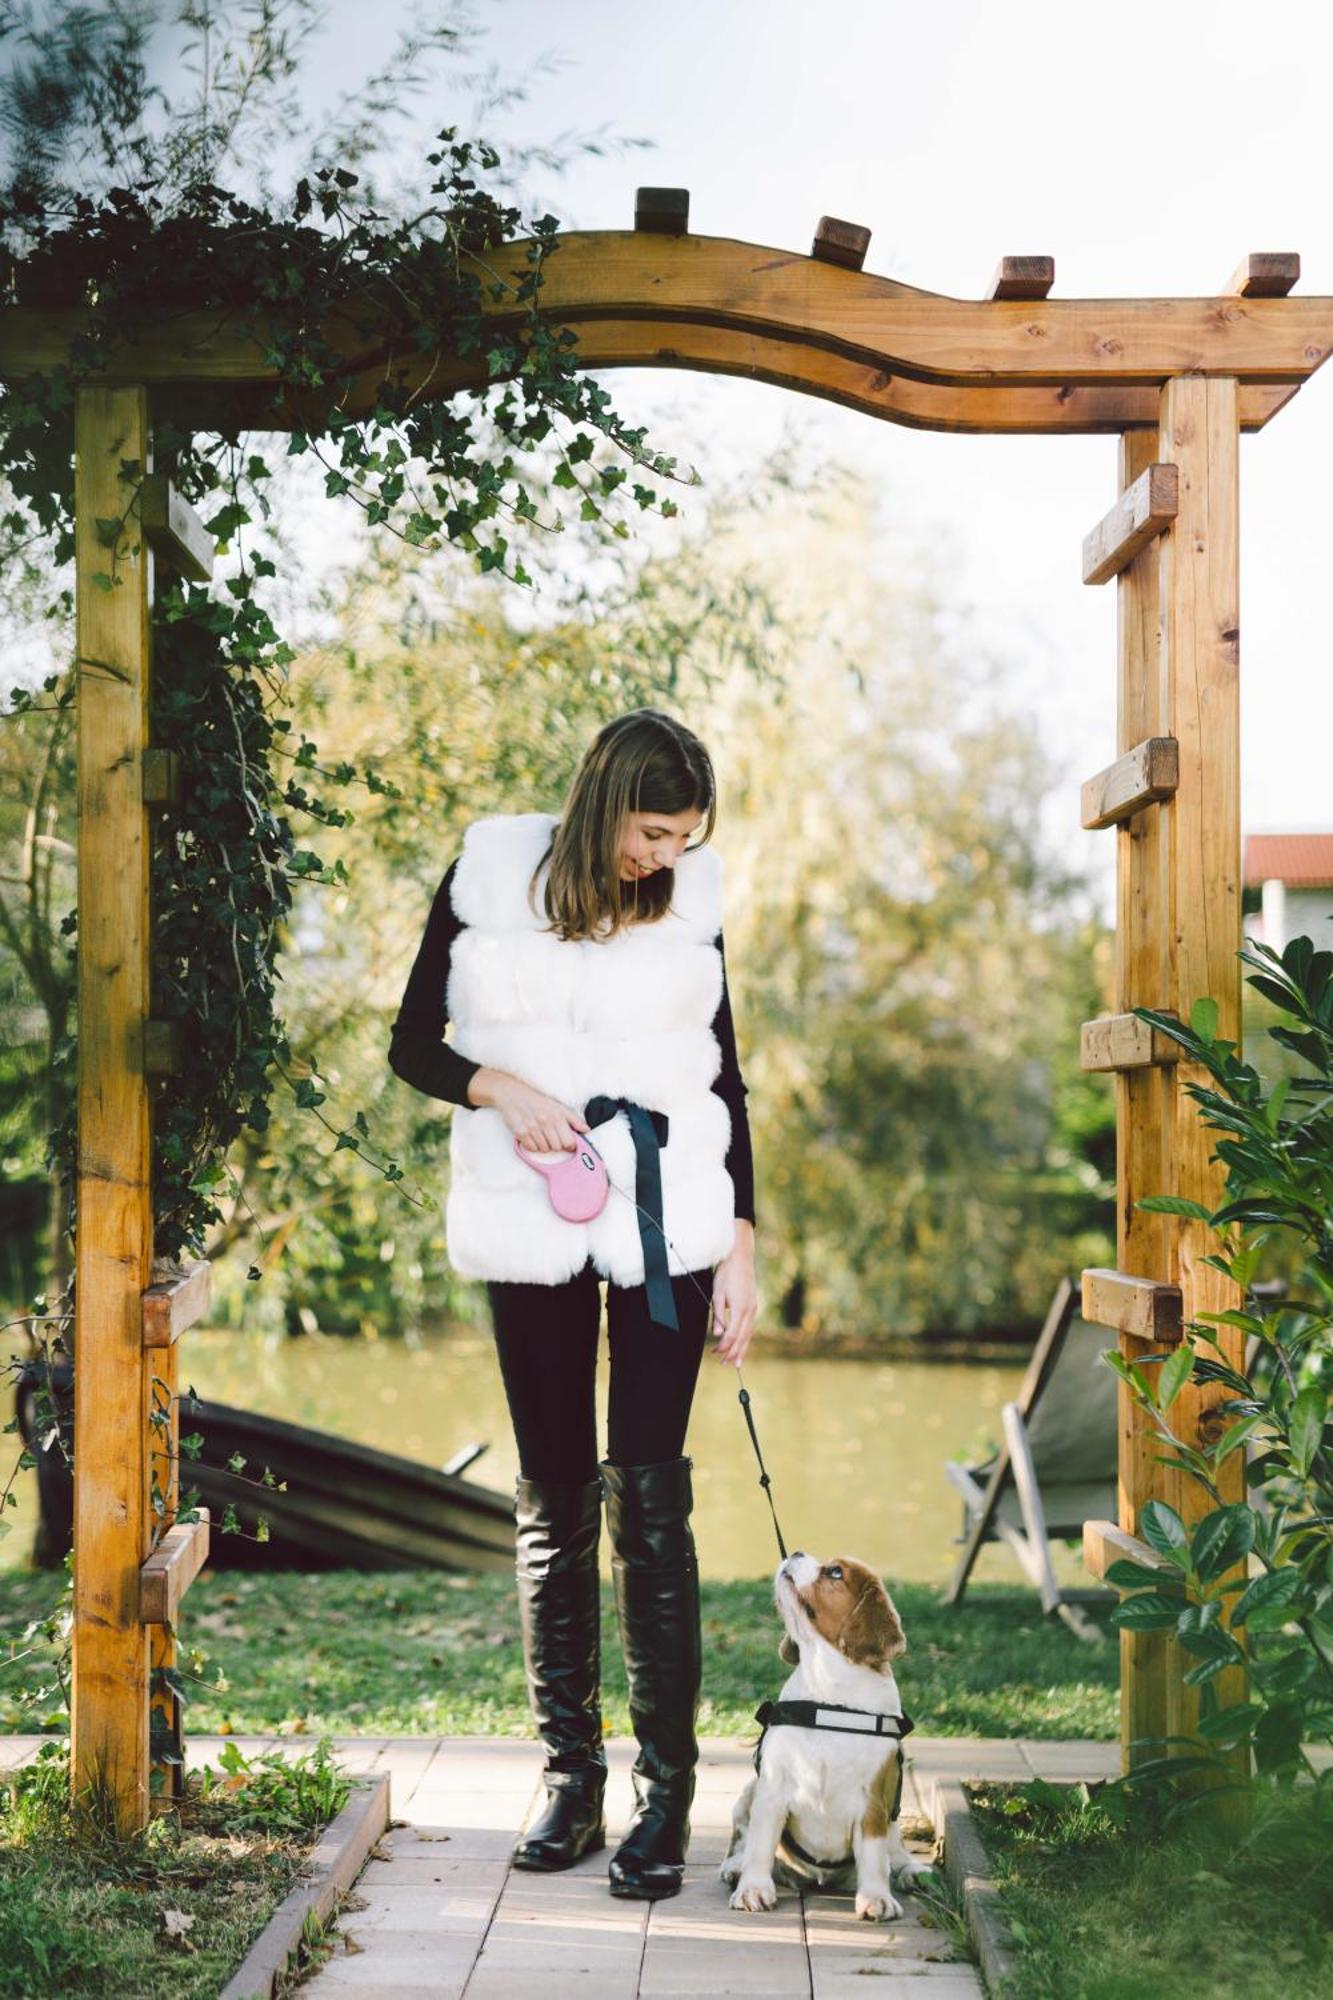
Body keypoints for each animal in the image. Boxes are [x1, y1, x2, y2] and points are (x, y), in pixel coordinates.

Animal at [716, 1544, 924, 1920]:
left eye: (835, 1573)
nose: (796, 1551)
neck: (828, 1690)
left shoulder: (874, 1800)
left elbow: (875, 1857)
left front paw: (876, 1897)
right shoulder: (771, 1790)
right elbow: (760, 1845)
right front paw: (753, 1888)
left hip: (893, 1814)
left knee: (894, 1849)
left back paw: (911, 1870)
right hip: (748, 1792)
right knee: (742, 1839)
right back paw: (735, 1867)